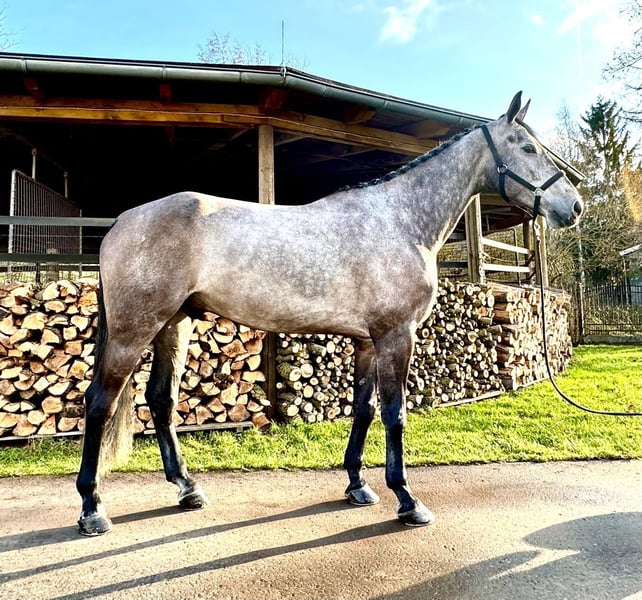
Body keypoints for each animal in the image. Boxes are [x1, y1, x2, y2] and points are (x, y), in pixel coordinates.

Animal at [76, 91, 583, 536]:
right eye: (527, 147)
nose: (574, 207)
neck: (400, 221)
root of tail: (120, 222)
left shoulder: (367, 341)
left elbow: (364, 408)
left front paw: (358, 485)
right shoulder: (396, 336)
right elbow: (395, 413)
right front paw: (407, 500)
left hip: (173, 325)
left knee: (161, 401)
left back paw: (187, 489)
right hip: (134, 330)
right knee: (99, 402)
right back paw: (92, 508)